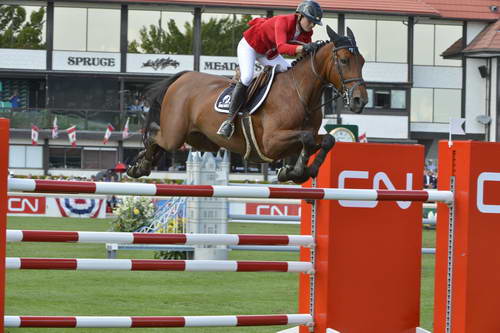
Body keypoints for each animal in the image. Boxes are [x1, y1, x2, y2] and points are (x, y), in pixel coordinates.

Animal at [126, 25, 368, 184]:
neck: (300, 94)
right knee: (155, 135)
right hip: (175, 134)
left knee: (159, 141)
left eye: (363, 61)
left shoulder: (294, 140)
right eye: (344, 60)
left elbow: (327, 140)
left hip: (200, 139)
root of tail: (183, 77)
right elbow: (307, 138)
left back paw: (139, 165)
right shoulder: (271, 142)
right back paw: (141, 165)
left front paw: (297, 172)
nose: (360, 100)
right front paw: (297, 171)